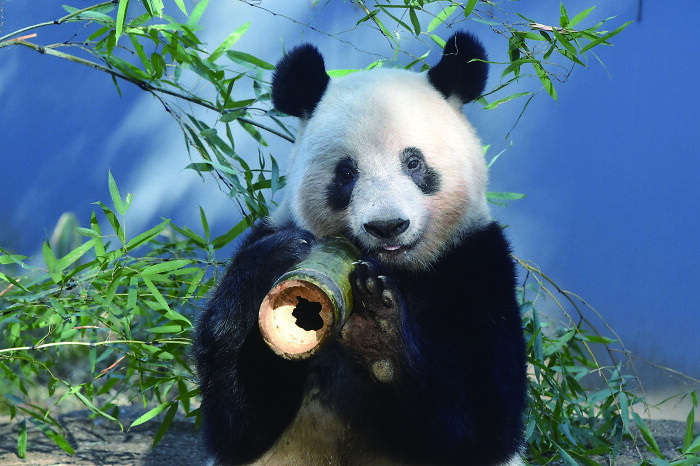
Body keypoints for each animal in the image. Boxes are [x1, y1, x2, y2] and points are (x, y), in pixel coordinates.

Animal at [193, 32, 527, 465]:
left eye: (414, 162)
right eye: (346, 173)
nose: (387, 226)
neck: (393, 268)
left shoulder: (476, 263)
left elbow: (484, 418)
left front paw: (378, 331)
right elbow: (237, 423)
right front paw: (277, 256)